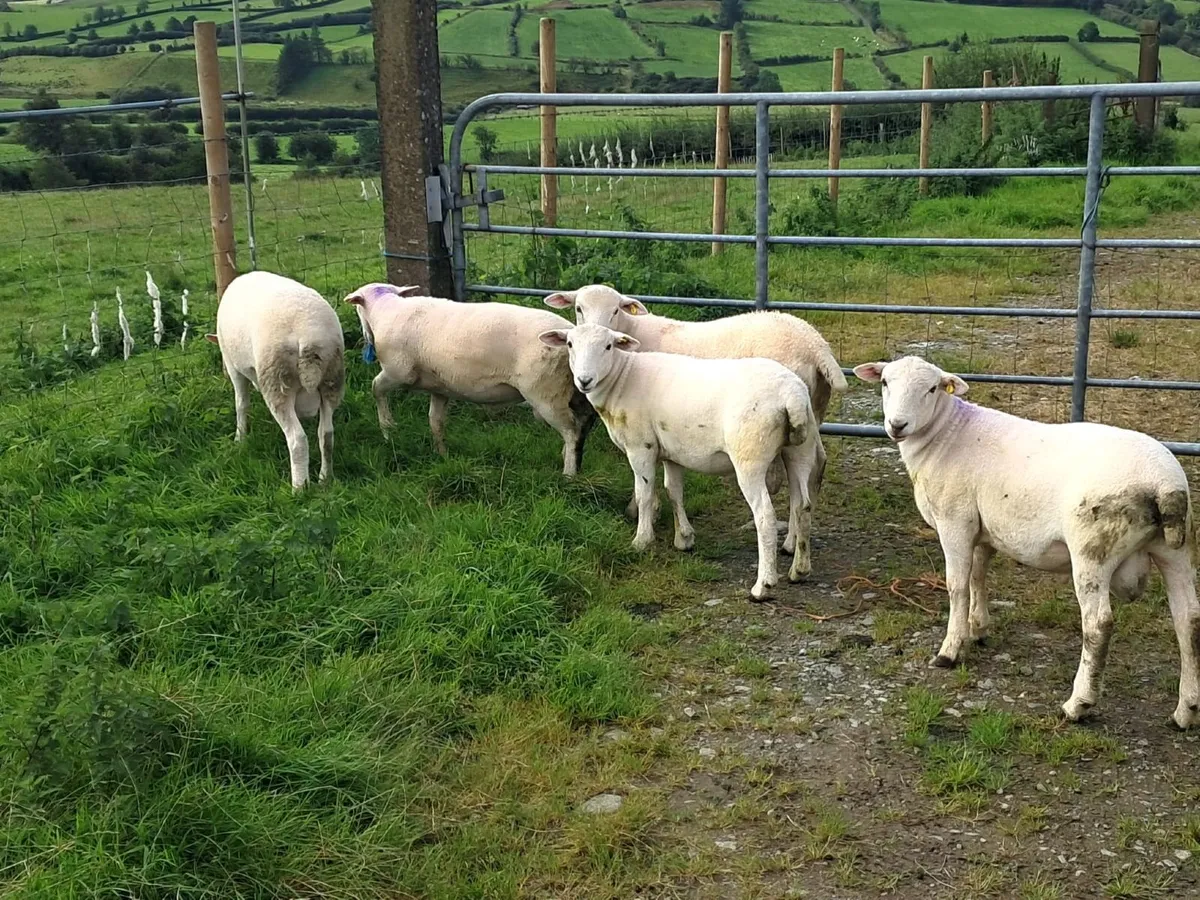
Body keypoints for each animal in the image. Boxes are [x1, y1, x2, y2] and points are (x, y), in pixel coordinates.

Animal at [205, 270, 345, 491]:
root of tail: (308, 336)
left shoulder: (233, 366)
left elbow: (241, 404)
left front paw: (239, 438)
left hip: (277, 381)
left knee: (297, 440)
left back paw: (299, 488)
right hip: (332, 378)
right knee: (327, 434)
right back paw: (325, 479)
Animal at [344, 283, 596, 475]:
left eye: (357, 309)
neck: (385, 310)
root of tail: (568, 334)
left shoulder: (398, 372)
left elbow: (376, 388)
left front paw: (387, 429)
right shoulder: (440, 388)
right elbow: (435, 421)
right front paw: (442, 454)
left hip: (546, 393)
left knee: (571, 431)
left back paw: (568, 475)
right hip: (574, 390)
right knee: (584, 423)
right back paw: (572, 460)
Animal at [545, 284, 846, 577]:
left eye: (616, 309)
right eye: (579, 308)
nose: (585, 378)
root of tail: (816, 343)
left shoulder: (642, 440)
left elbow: (645, 486)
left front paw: (642, 520)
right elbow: (670, 487)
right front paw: (677, 532)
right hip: (811, 417)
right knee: (813, 471)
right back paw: (794, 547)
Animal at [854, 356, 1199, 728]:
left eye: (932, 388)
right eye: (885, 382)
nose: (897, 425)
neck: (945, 435)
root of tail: (1164, 484)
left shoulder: (955, 521)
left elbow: (957, 585)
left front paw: (950, 650)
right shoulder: (983, 528)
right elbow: (978, 576)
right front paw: (978, 629)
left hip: (1093, 548)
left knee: (1098, 624)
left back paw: (1078, 704)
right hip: (1176, 549)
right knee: (1189, 620)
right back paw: (1186, 710)